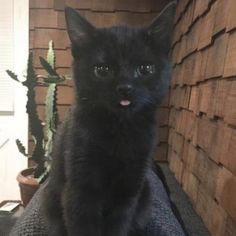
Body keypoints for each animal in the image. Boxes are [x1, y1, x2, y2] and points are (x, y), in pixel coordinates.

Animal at [42, 2, 175, 236]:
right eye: (102, 69)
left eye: (145, 68)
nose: (125, 88)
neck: (119, 129)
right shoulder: (80, 190)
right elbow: (82, 226)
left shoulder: (128, 190)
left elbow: (118, 225)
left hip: (145, 194)